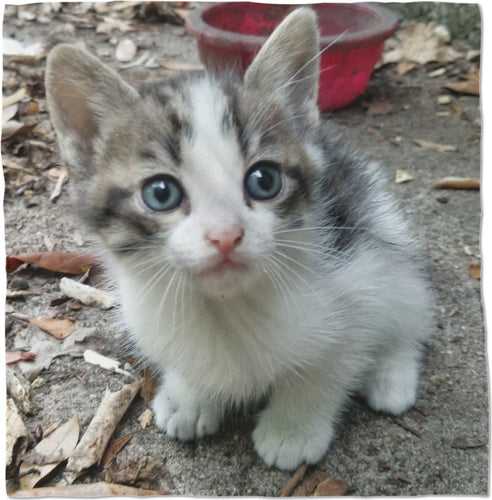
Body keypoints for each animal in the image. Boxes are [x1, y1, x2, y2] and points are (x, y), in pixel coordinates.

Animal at [44, 6, 432, 468]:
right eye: (161, 193)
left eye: (264, 181)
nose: (225, 235)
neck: (224, 307)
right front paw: (190, 398)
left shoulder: (358, 276)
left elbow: (328, 365)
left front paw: (293, 429)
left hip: (385, 237)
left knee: (410, 312)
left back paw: (392, 376)